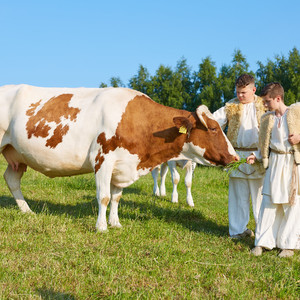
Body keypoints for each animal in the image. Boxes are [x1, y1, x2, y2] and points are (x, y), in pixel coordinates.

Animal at [0, 84, 239, 232]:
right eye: (214, 128)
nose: (235, 156)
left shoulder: (123, 166)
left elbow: (116, 198)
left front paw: (115, 223)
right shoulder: (103, 160)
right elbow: (104, 197)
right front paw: (101, 227)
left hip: (16, 155)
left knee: (11, 179)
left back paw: (27, 211)